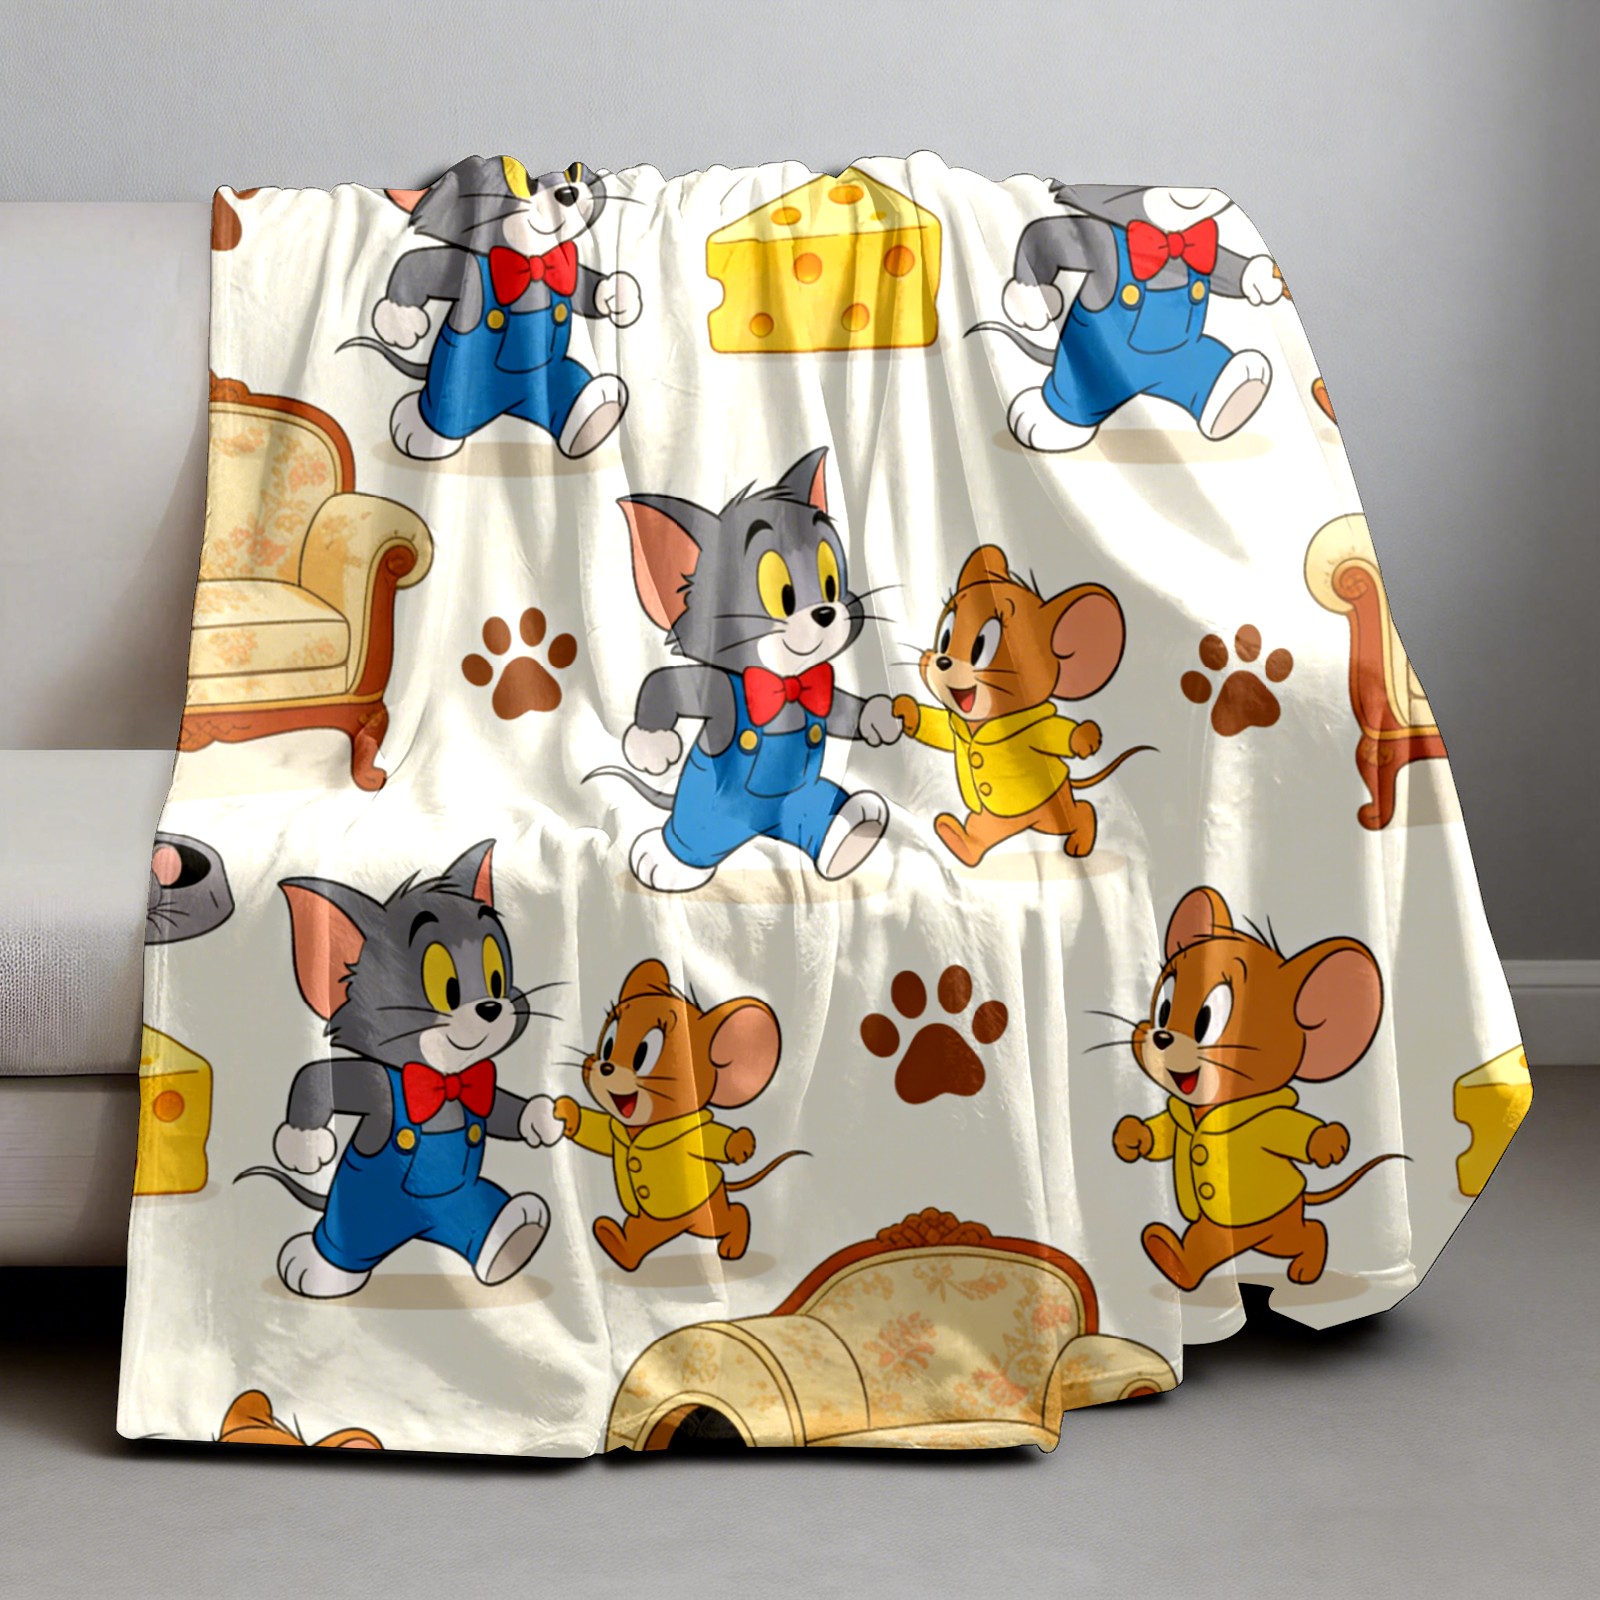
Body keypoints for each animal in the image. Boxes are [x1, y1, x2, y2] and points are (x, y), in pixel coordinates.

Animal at [586, 446, 904, 892]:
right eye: (781, 594)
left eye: (830, 581)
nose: (825, 612)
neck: (785, 684)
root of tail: (759, 829)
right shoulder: (721, 693)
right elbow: (667, 684)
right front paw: (652, 746)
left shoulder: (818, 692)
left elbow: (840, 710)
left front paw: (878, 718)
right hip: (703, 812)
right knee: (696, 834)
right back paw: (665, 859)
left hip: (798, 801)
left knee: (816, 809)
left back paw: (854, 830)